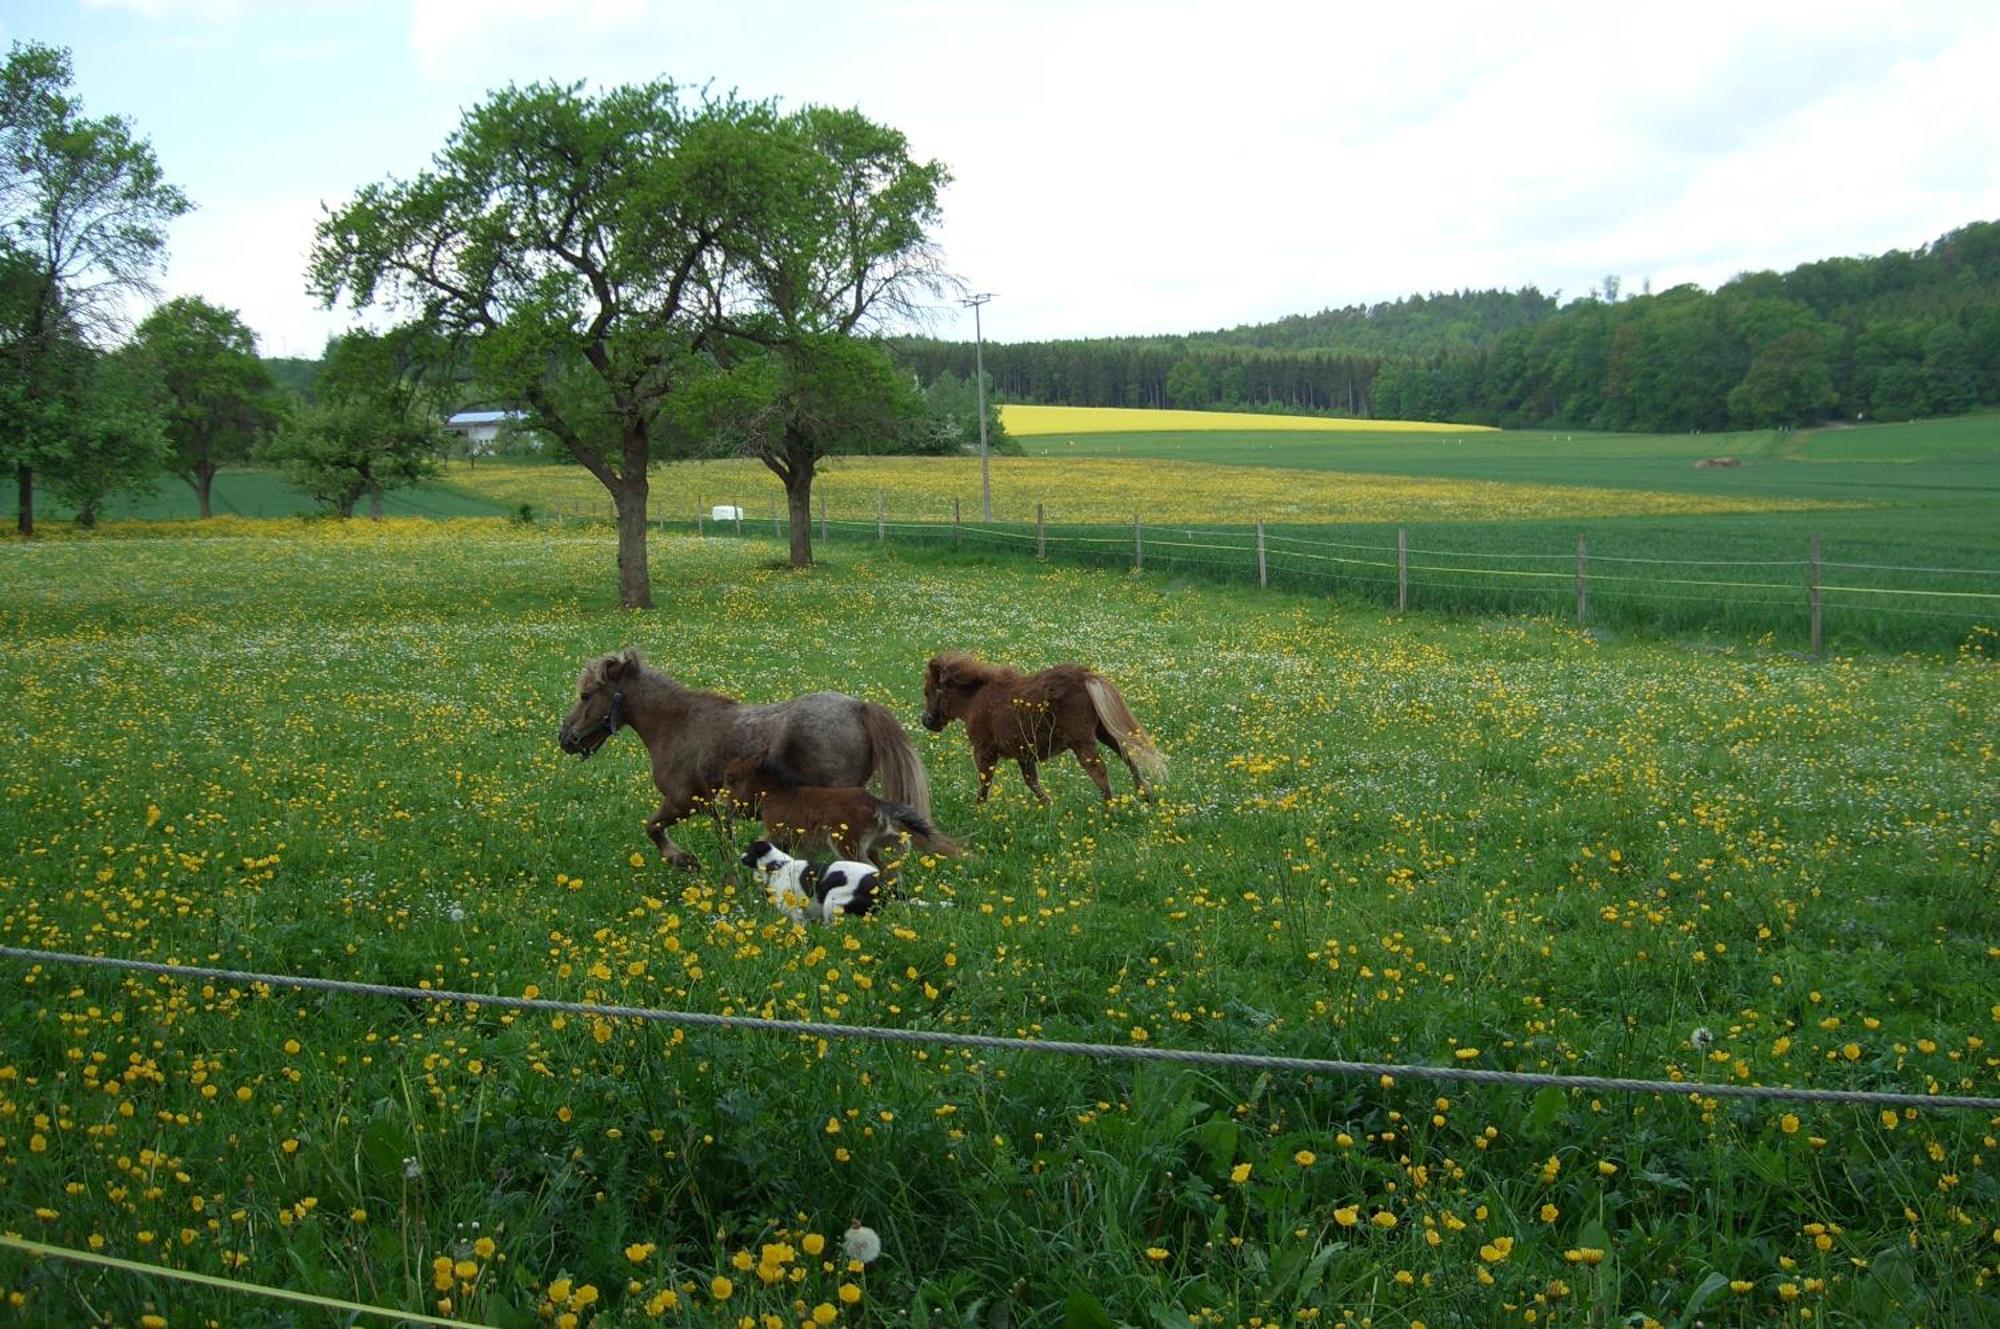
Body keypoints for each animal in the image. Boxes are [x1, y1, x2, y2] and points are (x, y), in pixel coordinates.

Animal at [560, 652, 932, 872]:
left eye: (586, 695)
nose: (565, 738)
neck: (678, 724)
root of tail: (859, 708)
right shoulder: (712, 809)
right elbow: (724, 843)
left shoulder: (682, 801)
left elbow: (652, 827)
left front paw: (683, 860)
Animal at [724, 752, 964, 868]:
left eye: (732, 778)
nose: (727, 806)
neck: (778, 794)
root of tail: (877, 803)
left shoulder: (778, 832)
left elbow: (763, 845)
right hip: (879, 840)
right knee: (897, 852)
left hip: (848, 845)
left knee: (873, 868)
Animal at [744, 840, 884, 924]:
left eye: (748, 850)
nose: (741, 856)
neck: (778, 865)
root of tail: (877, 881)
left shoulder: (795, 911)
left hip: (832, 902)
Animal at [924, 652, 1168, 804]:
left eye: (927, 691)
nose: (926, 721)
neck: (974, 699)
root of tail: (1086, 675)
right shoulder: (1024, 754)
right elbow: (1031, 781)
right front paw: (1049, 806)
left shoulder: (984, 750)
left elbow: (985, 781)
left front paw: (979, 811)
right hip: (1103, 732)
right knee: (1128, 756)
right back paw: (1145, 795)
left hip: (1082, 740)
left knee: (1098, 770)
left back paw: (1109, 809)